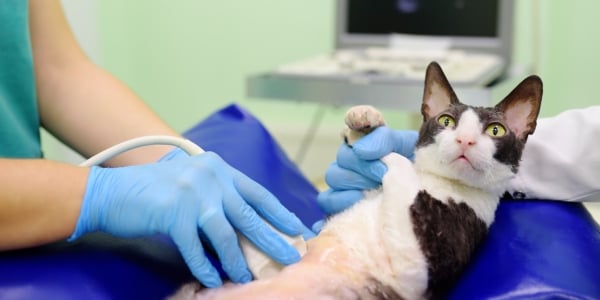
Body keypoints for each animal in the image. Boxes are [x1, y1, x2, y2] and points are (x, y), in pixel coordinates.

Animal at [169, 61, 544, 300]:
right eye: (446, 121)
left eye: (495, 131)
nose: (465, 140)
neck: (437, 183)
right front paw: (365, 121)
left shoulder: (414, 275)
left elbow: (401, 174)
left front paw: (391, 155)